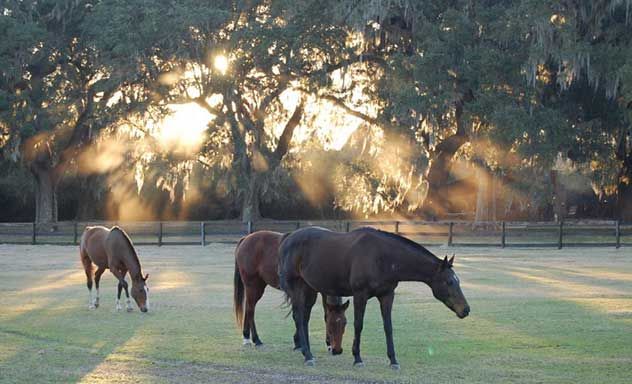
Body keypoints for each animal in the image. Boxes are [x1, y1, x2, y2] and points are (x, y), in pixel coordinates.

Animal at [278, 226, 470, 368]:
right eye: (449, 282)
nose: (466, 310)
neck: (383, 257)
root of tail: (287, 239)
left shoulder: (387, 296)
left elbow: (388, 327)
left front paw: (393, 360)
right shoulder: (360, 295)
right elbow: (358, 325)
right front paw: (357, 358)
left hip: (309, 288)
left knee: (303, 318)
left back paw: (307, 352)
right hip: (296, 287)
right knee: (298, 317)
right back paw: (307, 355)